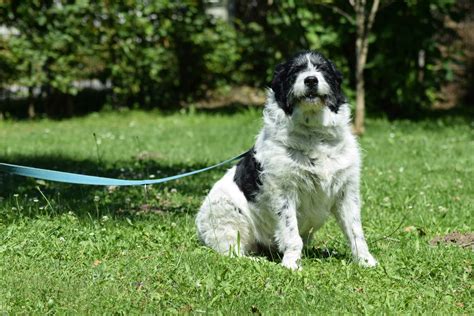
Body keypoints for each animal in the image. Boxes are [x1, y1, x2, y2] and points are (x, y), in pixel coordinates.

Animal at [195, 50, 378, 270]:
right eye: (295, 71)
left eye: (322, 68)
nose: (311, 80)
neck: (314, 135)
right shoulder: (283, 192)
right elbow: (291, 234)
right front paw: (292, 264)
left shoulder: (346, 192)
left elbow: (356, 231)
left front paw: (366, 261)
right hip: (228, 214)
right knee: (232, 252)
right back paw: (259, 260)